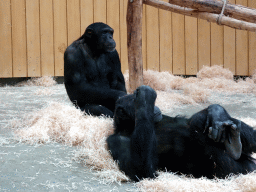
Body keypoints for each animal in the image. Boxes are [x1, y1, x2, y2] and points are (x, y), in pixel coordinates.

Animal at [106, 85, 256, 182]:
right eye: (133, 101)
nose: (154, 107)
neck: (130, 126)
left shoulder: (163, 117)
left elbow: (187, 121)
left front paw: (217, 113)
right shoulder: (116, 142)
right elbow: (141, 170)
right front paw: (145, 97)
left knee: (197, 121)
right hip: (231, 170)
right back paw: (235, 146)